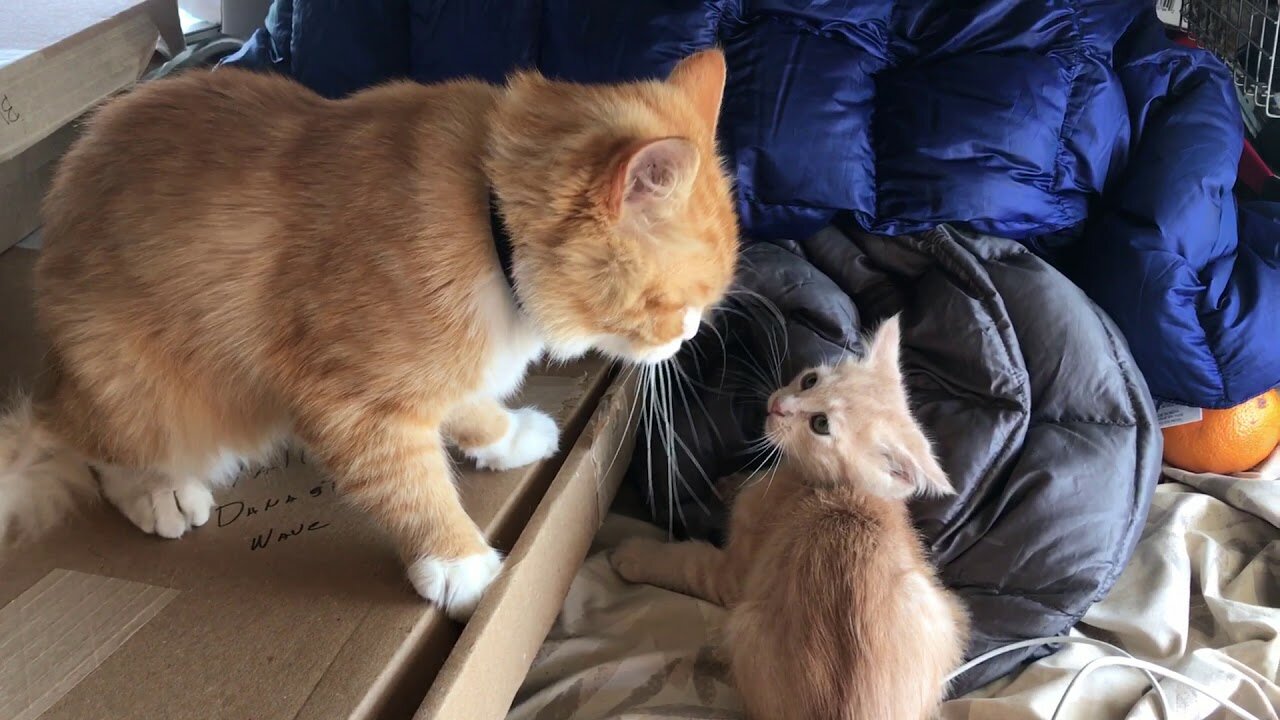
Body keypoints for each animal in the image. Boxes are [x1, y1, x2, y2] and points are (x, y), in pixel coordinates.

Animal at [0, 49, 742, 617]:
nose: (686, 339)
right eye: (672, 304)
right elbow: (410, 482)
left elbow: (469, 405)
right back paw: (159, 490)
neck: (488, 219)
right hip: (141, 388)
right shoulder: (349, 399)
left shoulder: (445, 370)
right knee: (90, 448)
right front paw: (458, 560)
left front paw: (504, 437)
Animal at [614, 316, 962, 717]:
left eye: (821, 424)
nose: (779, 405)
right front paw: (730, 483)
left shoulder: (733, 573)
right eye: (810, 380)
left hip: (744, 626)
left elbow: (687, 563)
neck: (835, 486)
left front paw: (634, 556)